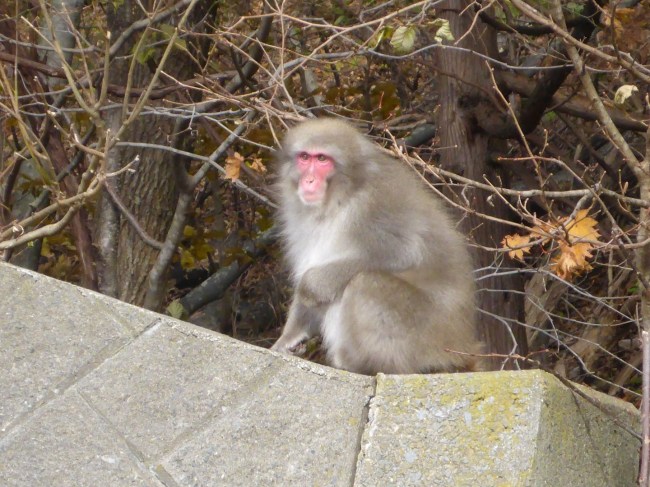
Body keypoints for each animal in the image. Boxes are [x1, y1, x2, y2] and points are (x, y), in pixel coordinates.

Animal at [270, 118, 482, 375]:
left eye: (322, 159)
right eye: (304, 157)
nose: (308, 180)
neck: (340, 198)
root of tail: (463, 349)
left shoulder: (375, 205)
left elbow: (403, 253)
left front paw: (312, 286)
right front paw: (289, 337)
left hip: (424, 338)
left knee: (366, 282)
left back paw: (362, 365)